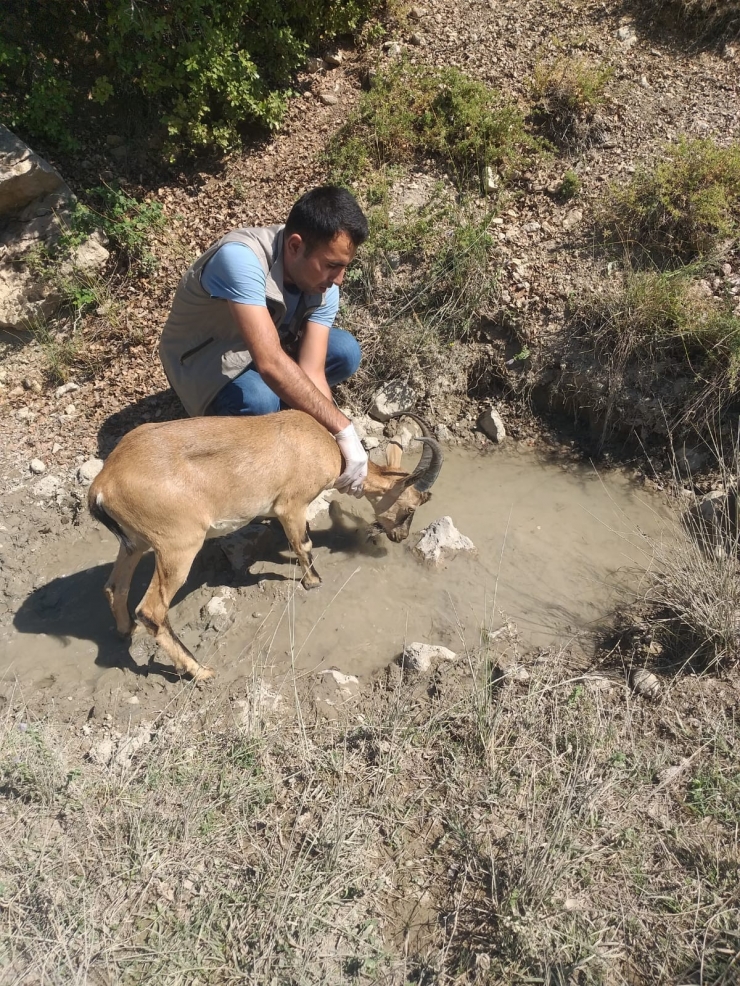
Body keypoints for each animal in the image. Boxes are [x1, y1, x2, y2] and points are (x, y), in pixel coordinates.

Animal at [89, 408, 442, 676]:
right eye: (411, 507)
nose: (399, 536)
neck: (316, 445)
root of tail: (103, 483)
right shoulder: (292, 506)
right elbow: (303, 544)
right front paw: (314, 581)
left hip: (134, 544)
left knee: (114, 587)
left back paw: (126, 631)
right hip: (177, 548)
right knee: (151, 610)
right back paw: (200, 671)